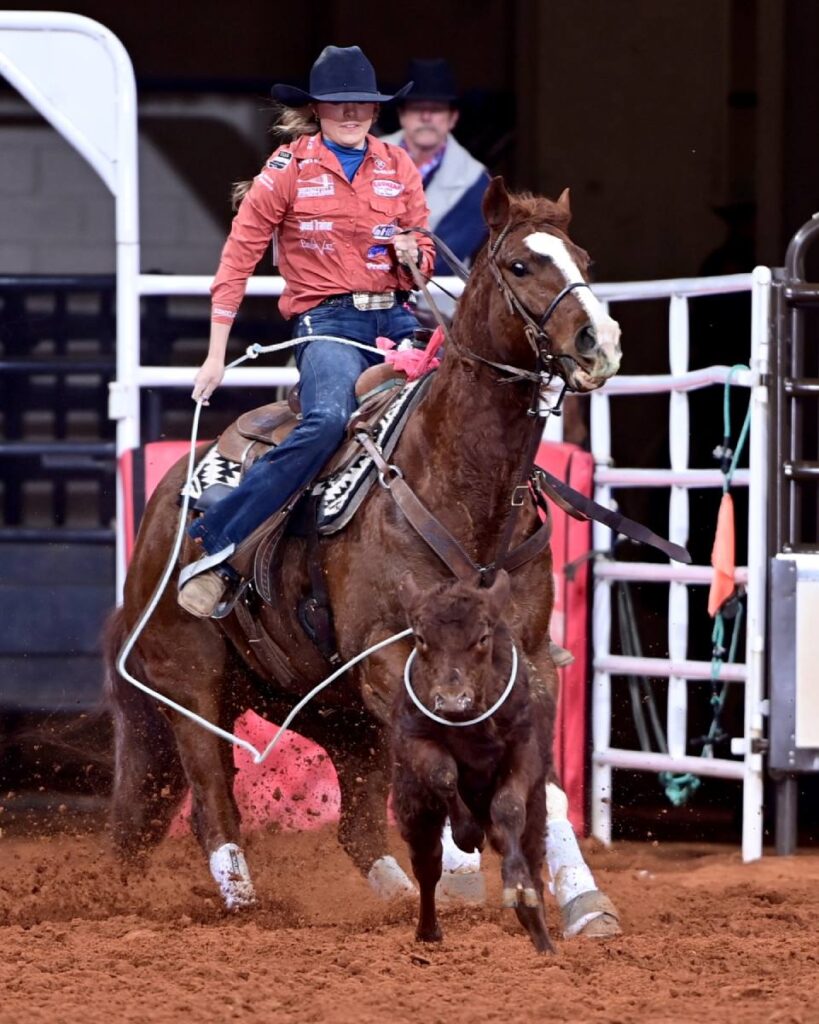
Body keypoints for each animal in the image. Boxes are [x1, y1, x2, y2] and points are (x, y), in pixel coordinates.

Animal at [391, 569, 556, 950]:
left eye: (482, 638)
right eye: (420, 637)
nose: (453, 701)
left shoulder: (524, 747)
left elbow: (508, 807)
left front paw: (518, 887)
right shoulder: (417, 740)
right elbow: (443, 775)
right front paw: (466, 833)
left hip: (537, 810)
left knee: (529, 857)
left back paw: (542, 938)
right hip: (413, 808)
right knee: (427, 864)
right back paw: (428, 931)